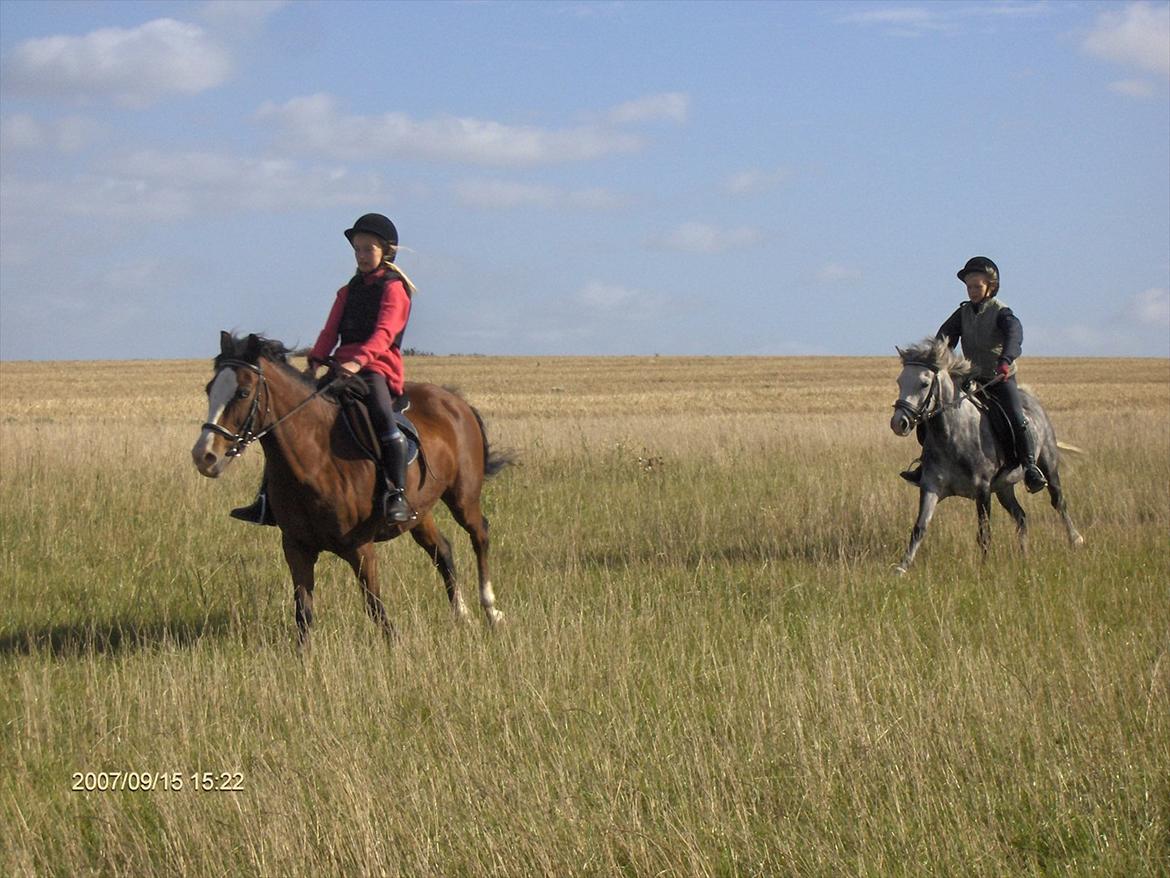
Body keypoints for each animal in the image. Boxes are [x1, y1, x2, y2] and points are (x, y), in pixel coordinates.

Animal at [191, 332, 512, 647]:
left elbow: (375, 608)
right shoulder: (296, 547)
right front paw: (304, 657)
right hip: (418, 512)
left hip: (462, 497)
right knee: (442, 551)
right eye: (209, 389)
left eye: (243, 393)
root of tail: (455, 401)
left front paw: (396, 647)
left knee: (479, 535)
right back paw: (462, 614)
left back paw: (491, 610)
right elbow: (303, 612)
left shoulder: (360, 547)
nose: (204, 456)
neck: (316, 459)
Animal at [889, 338, 1083, 575]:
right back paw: (1025, 556)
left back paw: (1075, 539)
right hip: (1004, 487)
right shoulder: (931, 487)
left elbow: (984, 533)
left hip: (1048, 465)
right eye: (900, 381)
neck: (952, 435)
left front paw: (984, 567)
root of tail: (1032, 400)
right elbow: (919, 528)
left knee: (1058, 502)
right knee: (1021, 516)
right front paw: (901, 568)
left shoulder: (982, 490)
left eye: (924, 384)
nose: (899, 423)